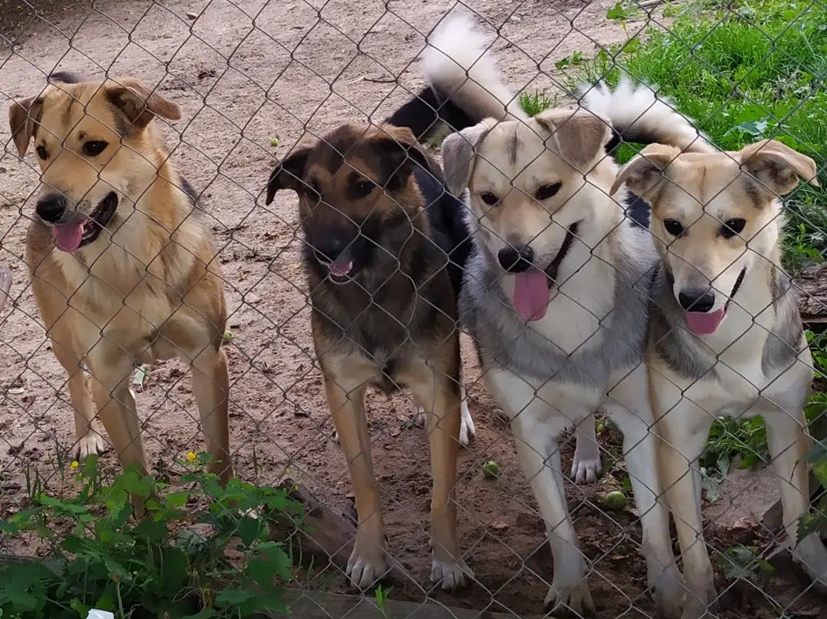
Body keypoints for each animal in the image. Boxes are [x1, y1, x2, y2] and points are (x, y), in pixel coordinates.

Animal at [266, 15, 520, 592]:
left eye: (361, 187)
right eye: (310, 192)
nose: (324, 250)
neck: (373, 290)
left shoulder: (435, 372)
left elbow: (442, 495)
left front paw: (447, 562)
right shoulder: (343, 394)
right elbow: (365, 485)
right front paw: (368, 556)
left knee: (454, 374)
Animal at [612, 142, 827, 619]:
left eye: (734, 226)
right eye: (674, 226)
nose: (695, 300)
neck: (732, 340)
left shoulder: (788, 422)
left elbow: (797, 510)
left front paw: (814, 563)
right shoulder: (678, 440)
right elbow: (692, 547)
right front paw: (696, 598)